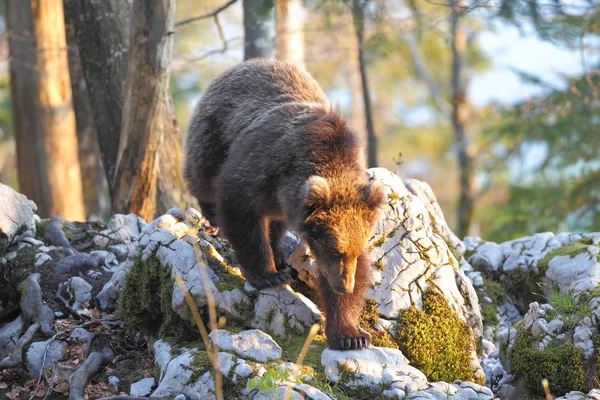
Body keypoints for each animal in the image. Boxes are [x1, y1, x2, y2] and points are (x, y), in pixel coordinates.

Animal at [180, 59, 384, 350]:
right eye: (335, 250)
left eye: (351, 253)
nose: (345, 285)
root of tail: (245, 64)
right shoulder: (261, 167)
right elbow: (240, 213)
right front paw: (269, 275)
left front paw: (350, 335)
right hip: (215, 133)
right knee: (202, 177)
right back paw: (213, 219)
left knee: (275, 223)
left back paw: (279, 254)